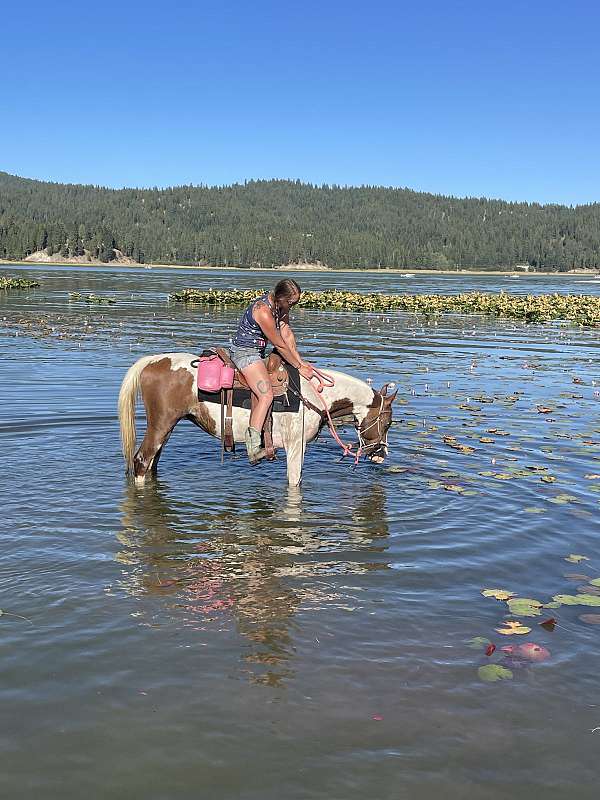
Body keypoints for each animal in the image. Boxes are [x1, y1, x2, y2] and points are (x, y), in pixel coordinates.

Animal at [118, 352, 397, 486]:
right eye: (387, 423)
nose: (381, 454)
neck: (313, 396)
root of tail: (153, 361)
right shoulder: (296, 446)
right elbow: (294, 482)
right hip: (161, 424)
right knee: (142, 461)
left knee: (152, 464)